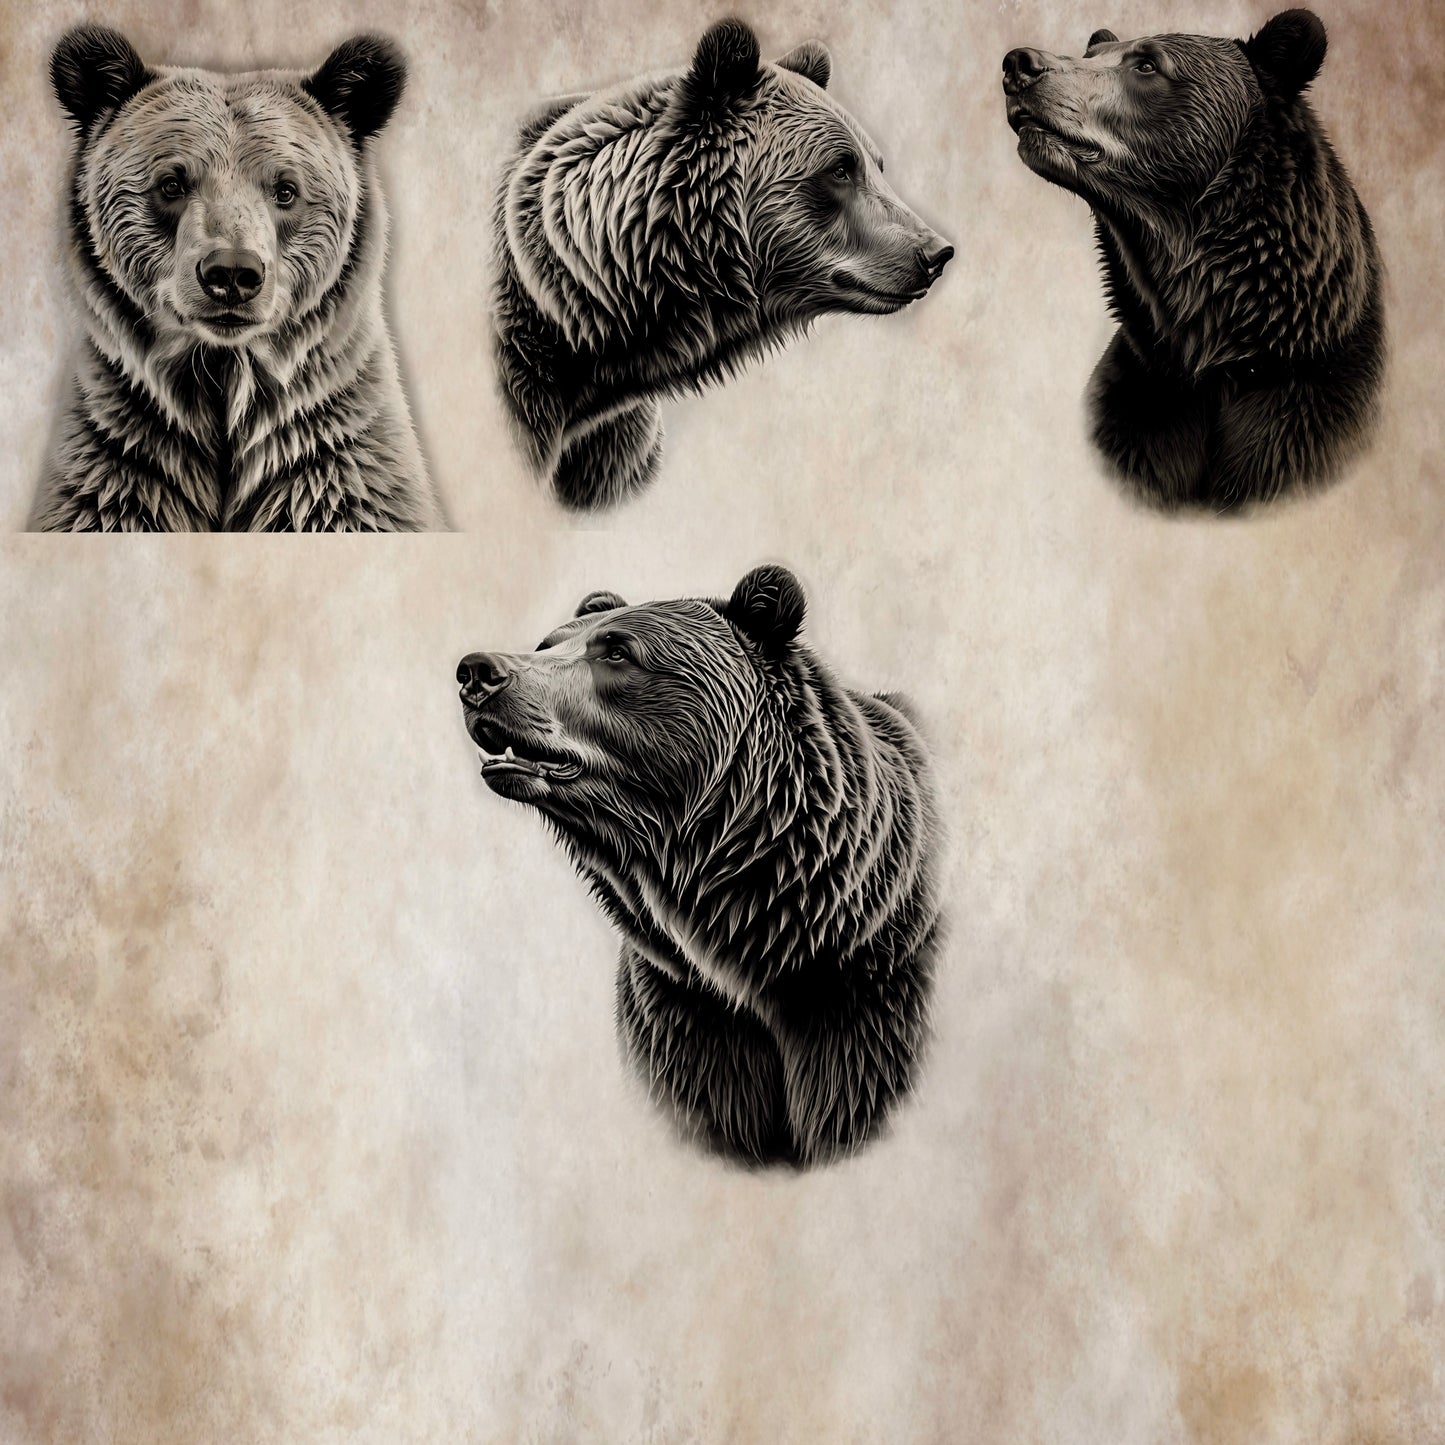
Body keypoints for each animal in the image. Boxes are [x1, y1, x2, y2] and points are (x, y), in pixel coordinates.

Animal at [34, 25, 443, 532]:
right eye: (172, 183)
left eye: (286, 190)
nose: (231, 273)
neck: (224, 379)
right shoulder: (123, 466)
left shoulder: (331, 467)